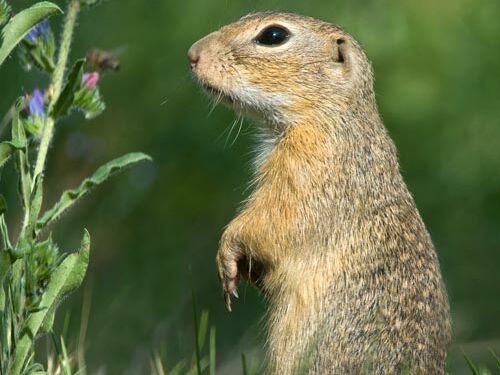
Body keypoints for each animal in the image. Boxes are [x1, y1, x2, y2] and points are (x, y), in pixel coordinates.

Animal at [188, 11, 454, 375]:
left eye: (273, 35)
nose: (192, 54)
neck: (331, 116)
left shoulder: (310, 171)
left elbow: (274, 221)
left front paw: (227, 256)